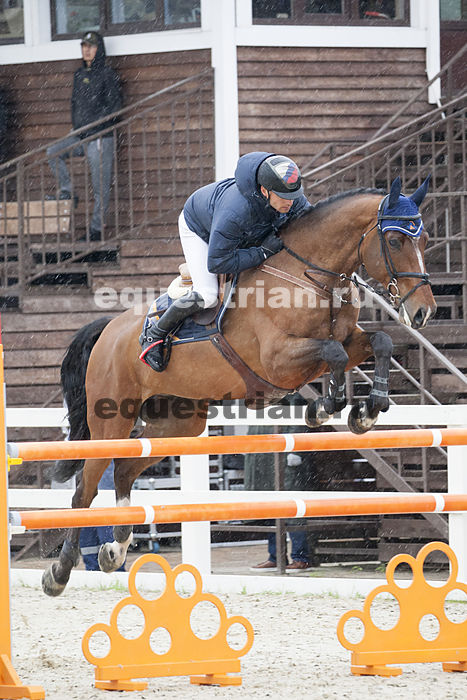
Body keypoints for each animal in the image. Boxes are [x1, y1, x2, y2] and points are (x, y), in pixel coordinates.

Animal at [42, 176, 436, 596]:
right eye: (394, 241)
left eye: (426, 239)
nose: (423, 312)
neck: (311, 277)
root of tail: (108, 330)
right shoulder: (278, 360)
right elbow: (334, 352)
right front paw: (327, 407)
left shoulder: (348, 340)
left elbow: (380, 342)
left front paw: (367, 409)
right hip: (112, 420)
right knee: (85, 486)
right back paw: (59, 573)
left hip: (180, 422)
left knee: (124, 471)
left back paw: (114, 549)